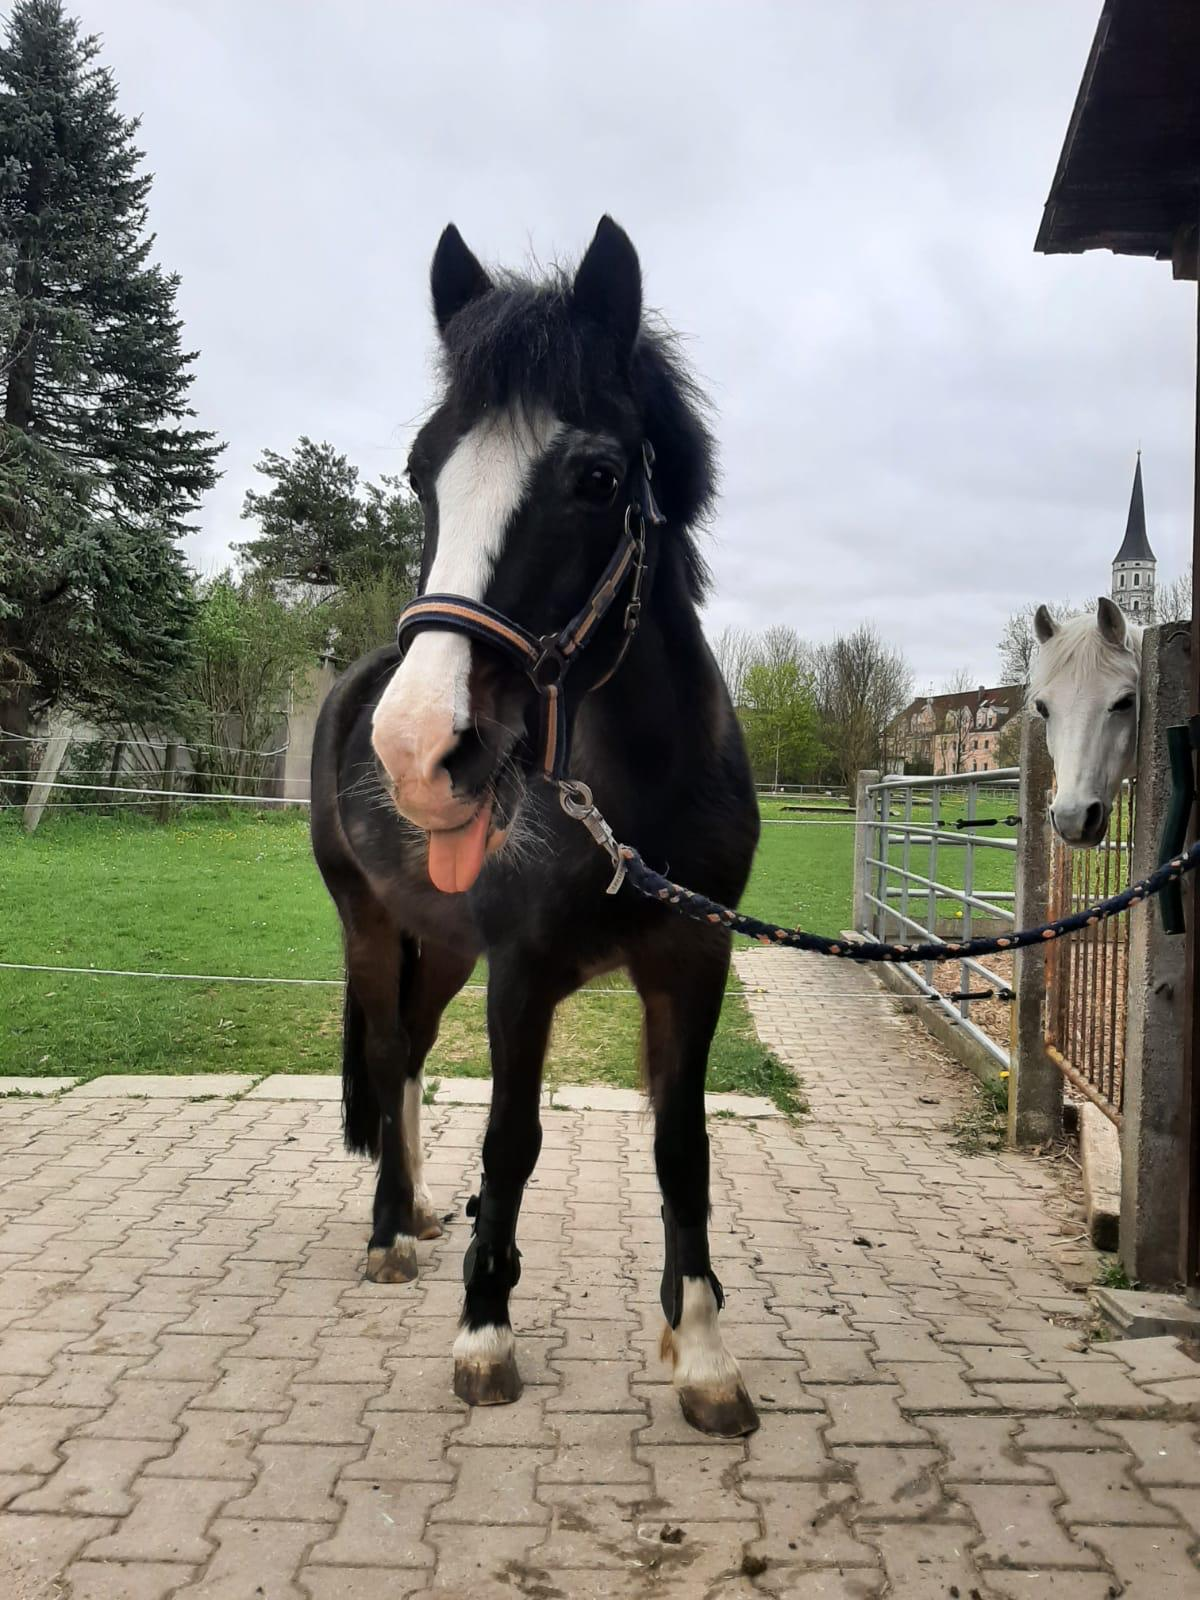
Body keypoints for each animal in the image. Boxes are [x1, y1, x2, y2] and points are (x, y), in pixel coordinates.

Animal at [310, 217, 762, 1437]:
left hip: (441, 946)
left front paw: (704, 1355)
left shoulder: (692, 962)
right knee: (388, 1049)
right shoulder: (521, 973)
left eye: (597, 478)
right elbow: (512, 1141)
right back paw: (388, 1232)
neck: (631, 802)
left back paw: (420, 1208)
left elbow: (683, 1148)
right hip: (369, 925)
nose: (420, 748)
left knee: (414, 1053)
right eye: (423, 473)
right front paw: (484, 1334)